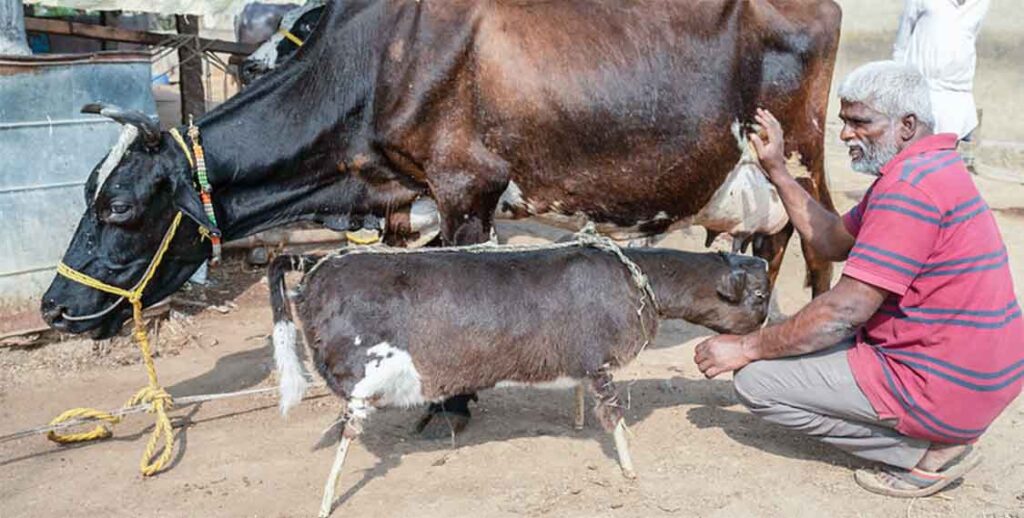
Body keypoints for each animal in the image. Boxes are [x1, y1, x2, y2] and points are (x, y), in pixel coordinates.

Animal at [39, 0, 839, 432]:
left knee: (803, 241)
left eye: (116, 207)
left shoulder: (465, 185)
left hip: (793, 151)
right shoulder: (407, 200)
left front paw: (451, 404)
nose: (54, 308)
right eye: (85, 193)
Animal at [268, 241, 765, 513]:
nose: (766, 322)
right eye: (759, 295)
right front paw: (629, 470)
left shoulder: (582, 359)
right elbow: (615, 418)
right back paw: (326, 501)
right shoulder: (600, 361)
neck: (637, 279)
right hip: (362, 375)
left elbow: (583, 395)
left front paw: (578, 421)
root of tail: (316, 265)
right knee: (348, 434)